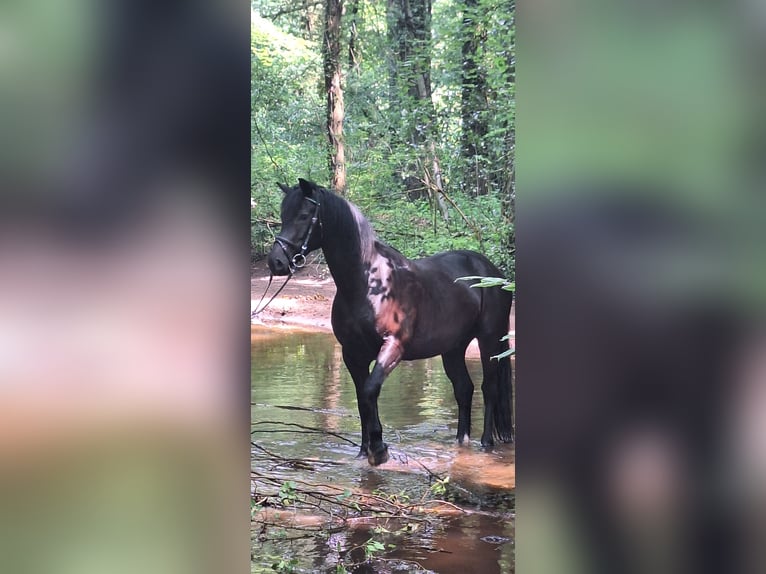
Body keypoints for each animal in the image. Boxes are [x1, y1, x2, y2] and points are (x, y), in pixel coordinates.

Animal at [266, 178, 513, 466]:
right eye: (284, 215)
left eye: (304, 215)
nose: (276, 261)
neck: (368, 282)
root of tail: (491, 271)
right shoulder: (353, 354)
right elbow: (363, 398)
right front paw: (365, 450)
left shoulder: (393, 346)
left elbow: (370, 390)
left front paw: (379, 448)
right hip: (453, 348)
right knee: (464, 388)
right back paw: (461, 442)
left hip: (489, 340)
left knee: (490, 388)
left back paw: (486, 443)